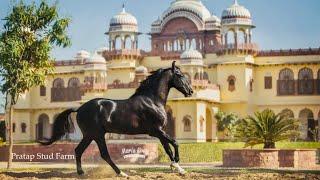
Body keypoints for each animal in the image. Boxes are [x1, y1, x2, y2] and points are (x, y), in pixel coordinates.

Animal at [41, 61, 194, 176]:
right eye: (180, 75)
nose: (191, 91)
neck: (152, 100)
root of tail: (79, 109)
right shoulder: (156, 131)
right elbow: (175, 143)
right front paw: (178, 166)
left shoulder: (160, 132)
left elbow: (168, 148)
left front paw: (177, 167)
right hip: (97, 135)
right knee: (104, 154)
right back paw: (121, 173)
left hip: (90, 135)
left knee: (79, 150)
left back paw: (81, 173)